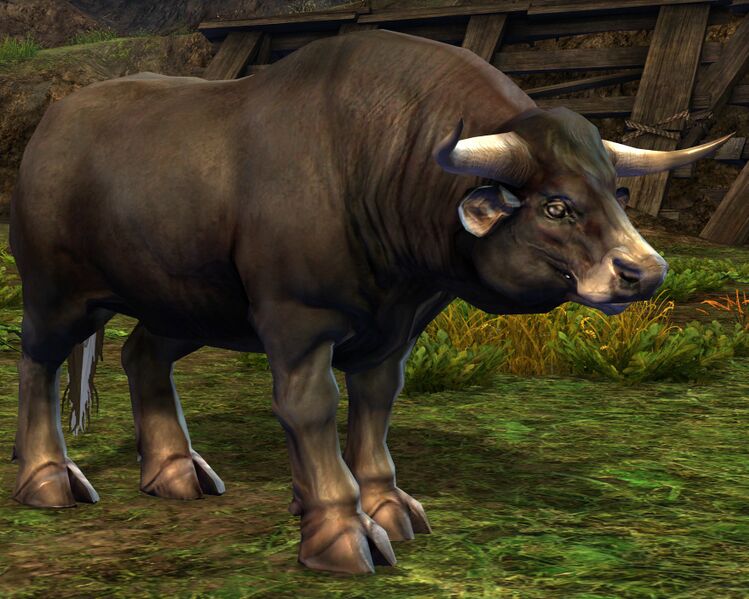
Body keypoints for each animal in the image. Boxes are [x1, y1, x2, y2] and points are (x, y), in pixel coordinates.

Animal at [9, 30, 730, 574]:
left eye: (618, 192)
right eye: (556, 205)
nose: (646, 271)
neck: (376, 168)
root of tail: (55, 123)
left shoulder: (392, 332)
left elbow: (376, 408)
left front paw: (385, 506)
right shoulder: (297, 323)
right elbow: (312, 409)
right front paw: (337, 528)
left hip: (188, 300)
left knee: (143, 354)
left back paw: (174, 469)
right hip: (58, 294)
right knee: (36, 361)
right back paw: (47, 478)